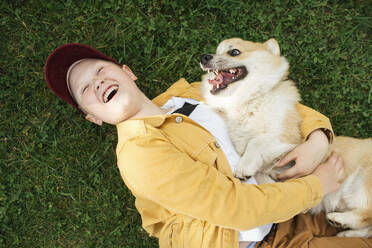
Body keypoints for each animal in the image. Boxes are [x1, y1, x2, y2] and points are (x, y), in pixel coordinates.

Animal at [201, 37, 372, 237]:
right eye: (216, 50)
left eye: (234, 52)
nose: (204, 57)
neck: (247, 102)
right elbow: (262, 174)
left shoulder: (288, 139)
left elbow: (257, 141)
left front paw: (245, 167)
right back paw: (345, 231)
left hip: (363, 183)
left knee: (368, 214)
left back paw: (339, 219)